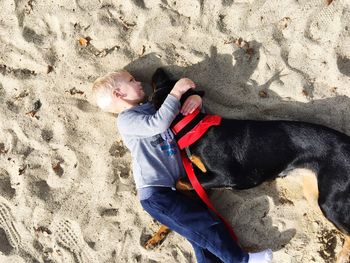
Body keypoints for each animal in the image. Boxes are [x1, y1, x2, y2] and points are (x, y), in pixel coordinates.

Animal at [146, 68, 350, 263]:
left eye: (166, 83)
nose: (159, 68)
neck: (194, 127)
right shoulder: (203, 183)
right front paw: (158, 236)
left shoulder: (225, 176)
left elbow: (180, 182)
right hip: (314, 194)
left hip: (329, 203)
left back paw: (343, 256)